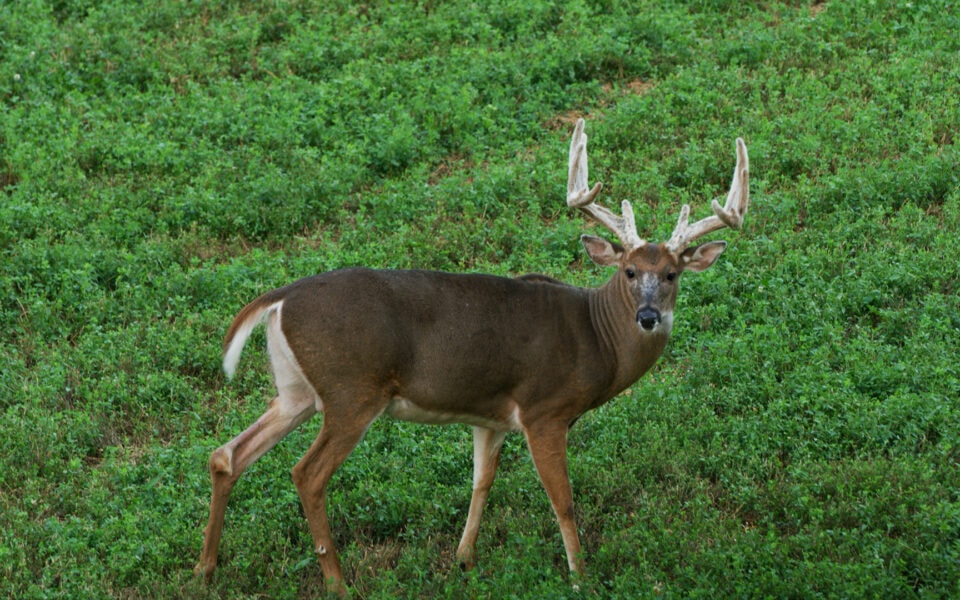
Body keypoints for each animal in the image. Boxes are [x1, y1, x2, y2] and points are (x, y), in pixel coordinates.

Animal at [195, 119, 752, 592]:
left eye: (673, 274)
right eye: (631, 271)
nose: (648, 317)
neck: (596, 338)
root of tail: (278, 299)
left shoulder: (491, 417)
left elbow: (481, 482)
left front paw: (464, 560)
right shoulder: (544, 410)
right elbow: (563, 499)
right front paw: (581, 576)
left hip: (295, 391)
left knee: (227, 454)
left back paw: (206, 567)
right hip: (351, 389)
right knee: (307, 474)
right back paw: (336, 582)